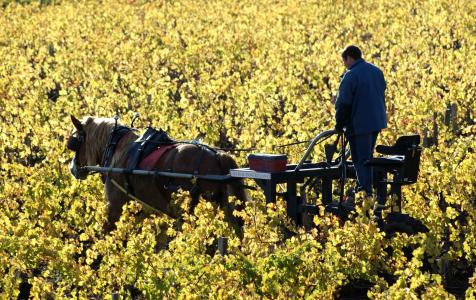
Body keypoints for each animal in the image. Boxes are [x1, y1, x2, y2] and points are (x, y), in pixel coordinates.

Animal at [67, 115, 249, 234]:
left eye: (74, 143)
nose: (73, 168)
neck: (117, 149)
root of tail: (218, 155)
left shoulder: (115, 207)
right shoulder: (144, 210)